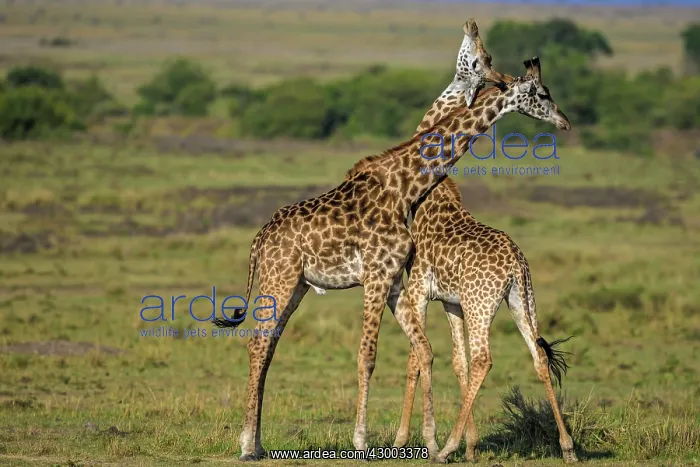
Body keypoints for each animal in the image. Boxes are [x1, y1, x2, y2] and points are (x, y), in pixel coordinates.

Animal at [212, 19, 508, 461]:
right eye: (484, 56)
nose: (471, 25)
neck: (404, 185)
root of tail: (259, 238)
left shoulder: (394, 279)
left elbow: (418, 352)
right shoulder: (380, 276)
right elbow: (372, 355)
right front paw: (367, 441)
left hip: (296, 285)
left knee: (266, 347)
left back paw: (257, 442)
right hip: (279, 279)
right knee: (258, 345)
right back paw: (248, 445)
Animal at [393, 59, 578, 464]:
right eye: (544, 94)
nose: (565, 122)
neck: (429, 196)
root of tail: (515, 265)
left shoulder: (419, 290)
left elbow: (416, 358)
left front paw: (404, 441)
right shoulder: (450, 301)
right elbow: (456, 362)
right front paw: (472, 445)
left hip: (483, 304)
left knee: (484, 359)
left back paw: (446, 447)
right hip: (522, 301)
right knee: (538, 358)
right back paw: (568, 447)